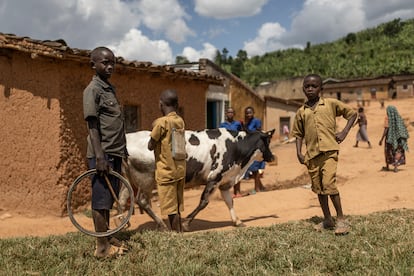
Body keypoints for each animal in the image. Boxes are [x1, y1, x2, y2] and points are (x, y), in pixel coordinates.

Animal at [120, 128, 274, 232]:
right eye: (267, 141)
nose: (272, 157)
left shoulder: (224, 181)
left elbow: (229, 202)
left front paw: (237, 221)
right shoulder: (214, 177)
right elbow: (204, 202)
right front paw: (186, 223)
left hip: (128, 179)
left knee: (122, 200)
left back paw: (122, 225)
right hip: (146, 179)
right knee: (142, 201)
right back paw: (162, 225)